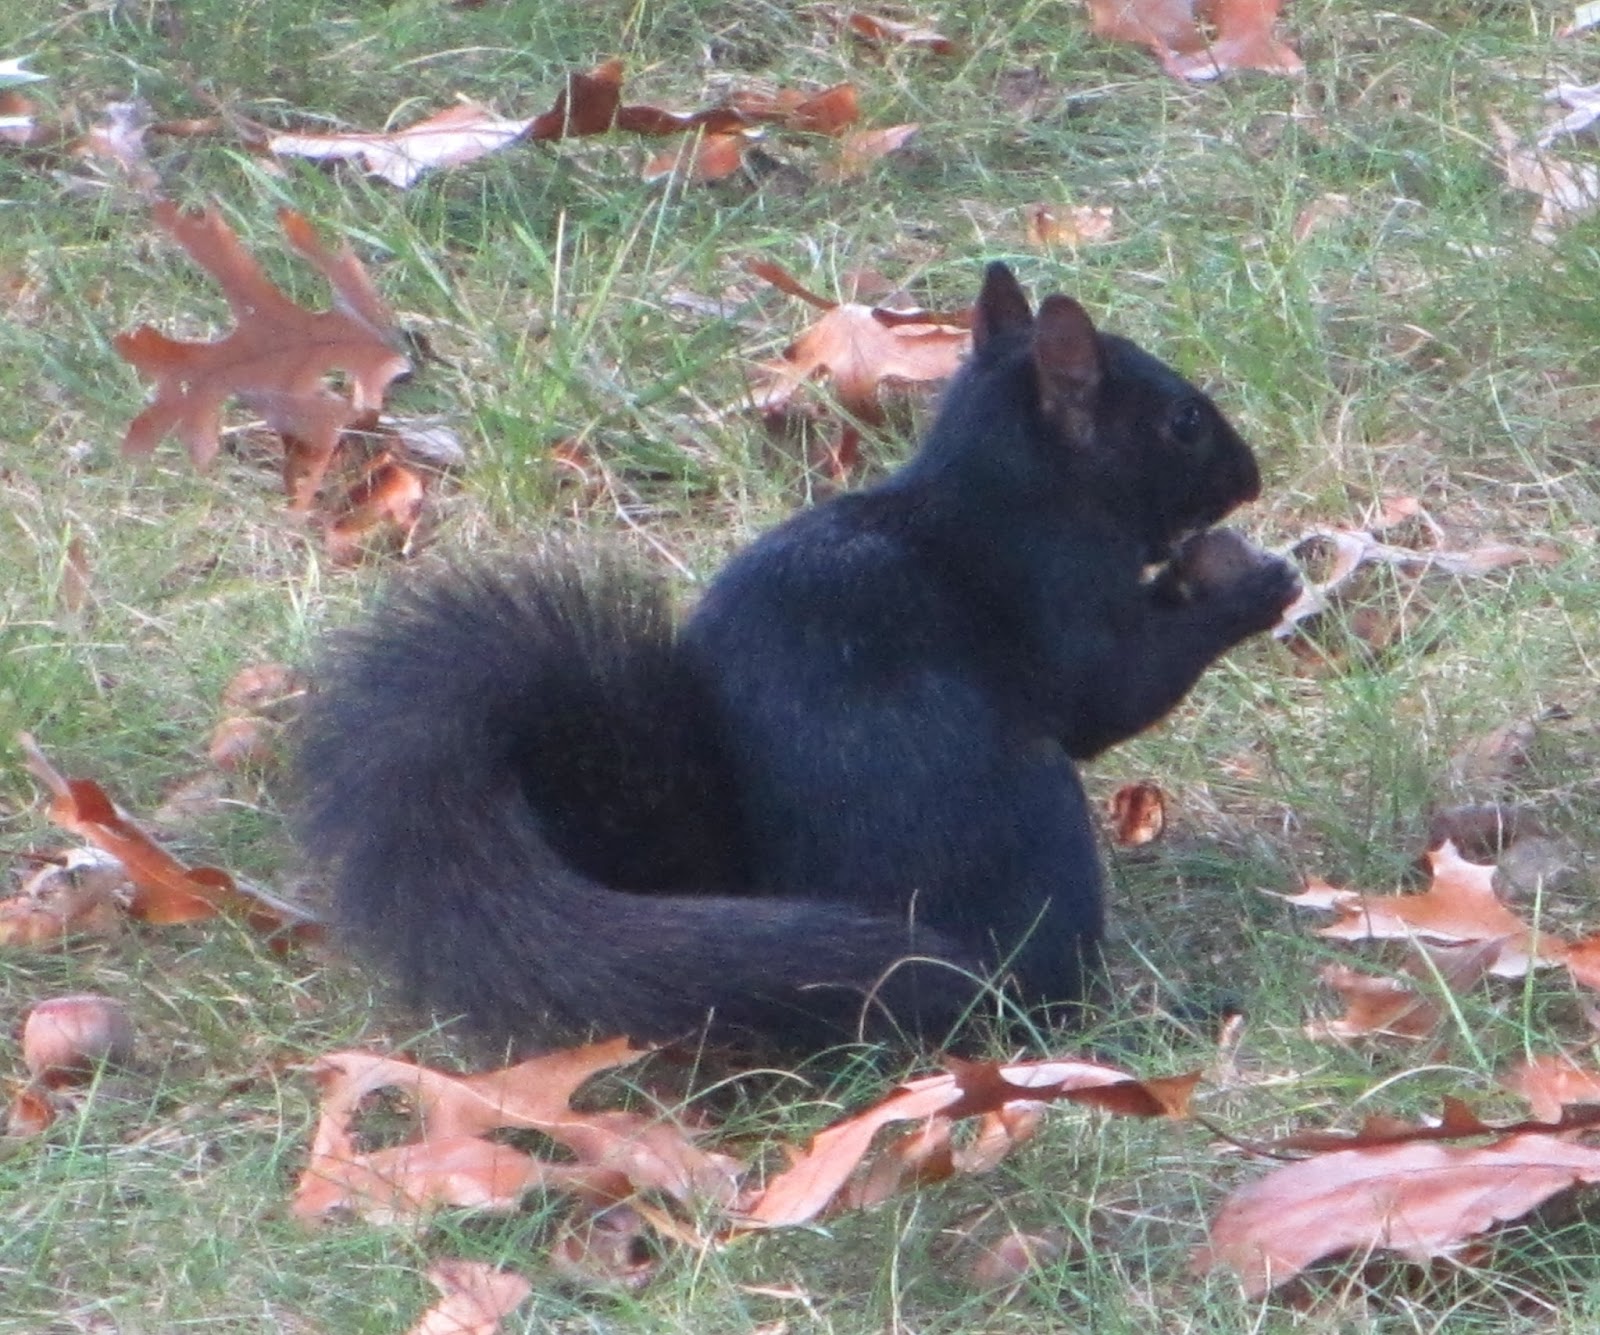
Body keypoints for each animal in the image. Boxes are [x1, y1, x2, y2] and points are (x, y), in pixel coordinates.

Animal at [294, 262, 1300, 1054]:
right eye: (1183, 421)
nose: (1250, 477)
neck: (1009, 492)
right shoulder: (1055, 598)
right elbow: (1112, 693)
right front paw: (1256, 585)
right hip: (1021, 821)